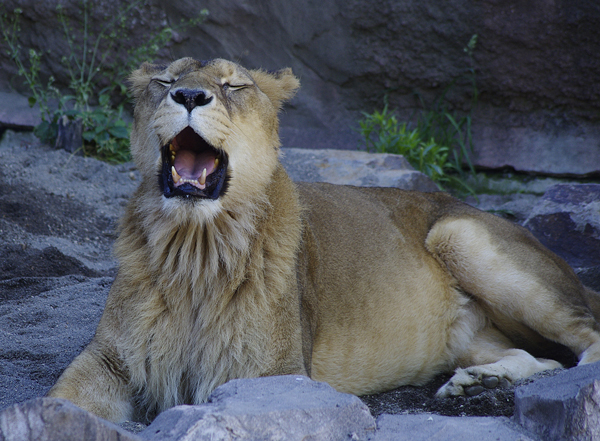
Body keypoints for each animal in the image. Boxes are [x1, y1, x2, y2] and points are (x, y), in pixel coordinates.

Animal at [45, 56, 600, 422]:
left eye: (233, 85)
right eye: (165, 81)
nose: (187, 96)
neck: (195, 247)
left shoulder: (274, 374)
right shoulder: (109, 359)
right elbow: (58, 400)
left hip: (457, 233)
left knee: (584, 340)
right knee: (543, 357)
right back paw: (478, 383)